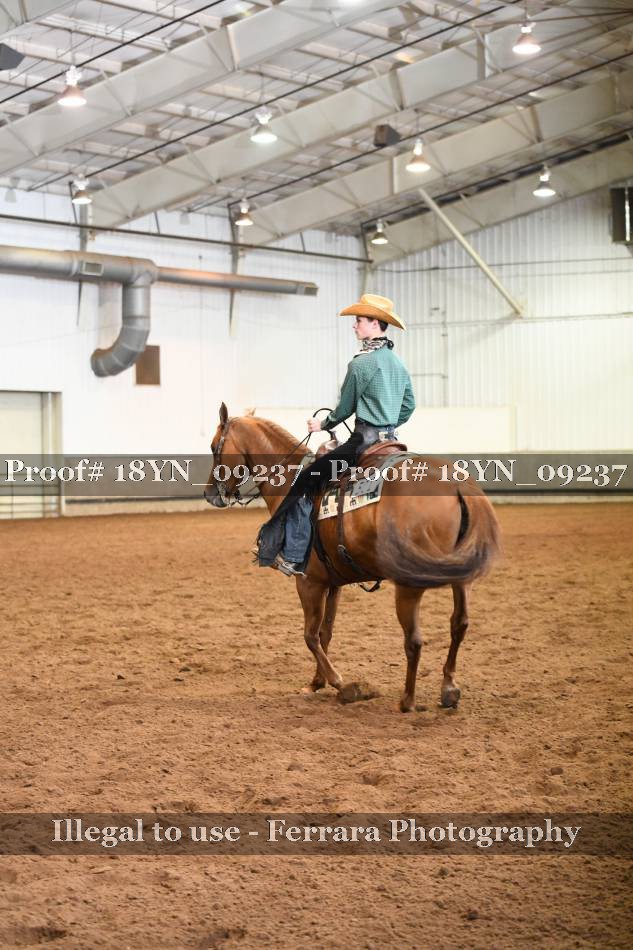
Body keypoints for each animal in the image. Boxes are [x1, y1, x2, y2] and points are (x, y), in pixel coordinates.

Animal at [204, 403, 501, 713]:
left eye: (214, 447)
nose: (210, 494)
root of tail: (458, 487)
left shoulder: (308, 582)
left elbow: (310, 635)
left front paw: (342, 684)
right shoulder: (333, 583)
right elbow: (325, 632)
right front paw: (316, 682)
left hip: (409, 585)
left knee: (415, 640)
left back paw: (407, 701)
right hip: (462, 580)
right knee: (459, 624)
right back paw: (449, 688)